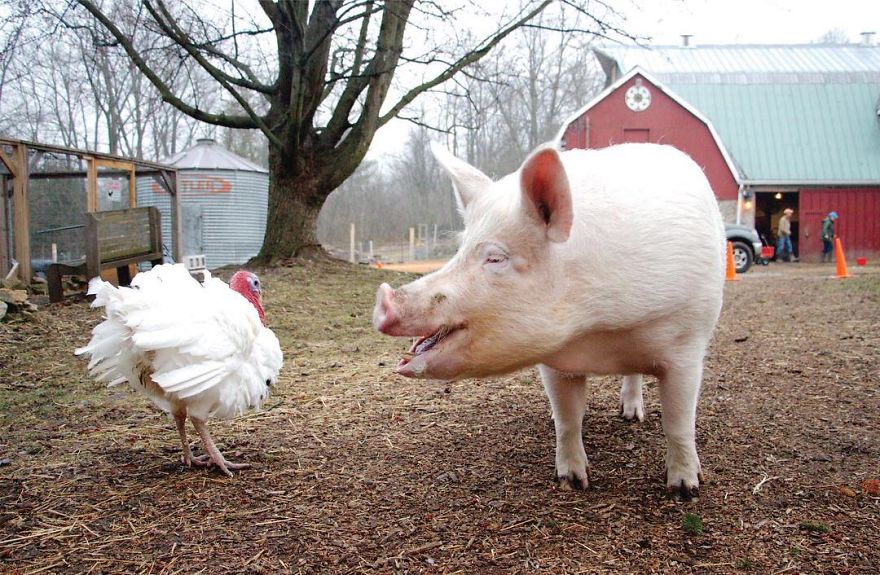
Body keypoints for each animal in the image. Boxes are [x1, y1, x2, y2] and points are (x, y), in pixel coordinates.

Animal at [373, 142, 725, 498]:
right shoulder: (555, 363)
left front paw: (685, 490)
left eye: (496, 258)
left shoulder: (688, 344)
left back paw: (631, 417)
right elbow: (568, 420)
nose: (384, 300)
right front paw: (573, 482)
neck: (598, 333)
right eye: (459, 250)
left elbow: (679, 422)